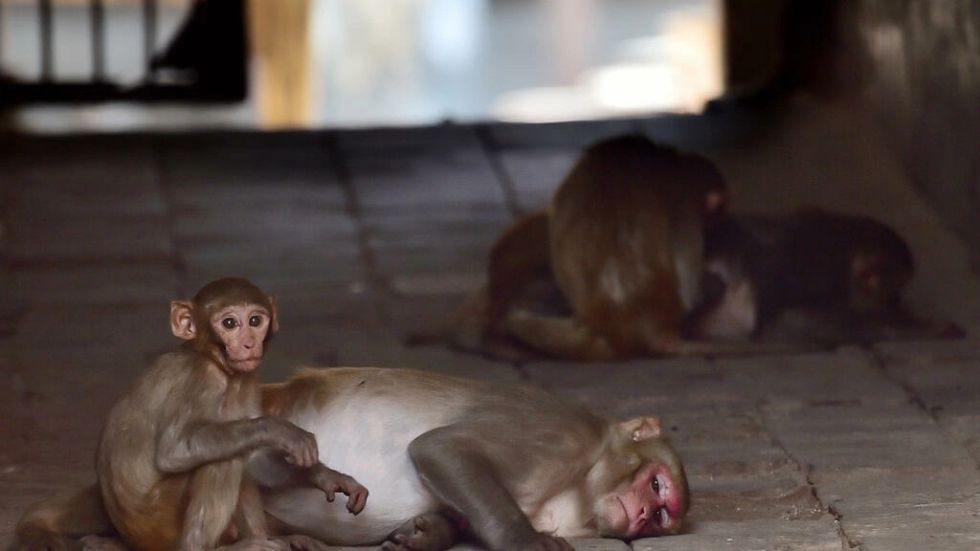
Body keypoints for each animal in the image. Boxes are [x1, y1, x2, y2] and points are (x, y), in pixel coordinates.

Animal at [15, 278, 368, 551]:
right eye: (229, 323)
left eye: (255, 321)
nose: (248, 344)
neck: (217, 365)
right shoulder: (197, 379)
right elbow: (175, 450)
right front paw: (283, 431)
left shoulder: (247, 382)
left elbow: (258, 460)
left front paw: (324, 475)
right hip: (157, 527)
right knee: (221, 459)